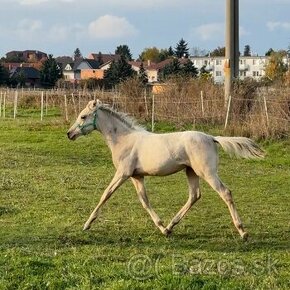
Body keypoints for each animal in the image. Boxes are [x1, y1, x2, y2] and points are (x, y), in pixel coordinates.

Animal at [67, 99, 264, 240]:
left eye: (83, 116)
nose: (69, 134)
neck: (123, 139)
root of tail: (211, 137)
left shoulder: (123, 173)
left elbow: (105, 194)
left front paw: (87, 224)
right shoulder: (136, 176)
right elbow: (145, 201)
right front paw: (162, 228)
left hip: (207, 172)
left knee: (225, 192)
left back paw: (243, 232)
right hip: (191, 172)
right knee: (194, 195)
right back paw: (170, 226)